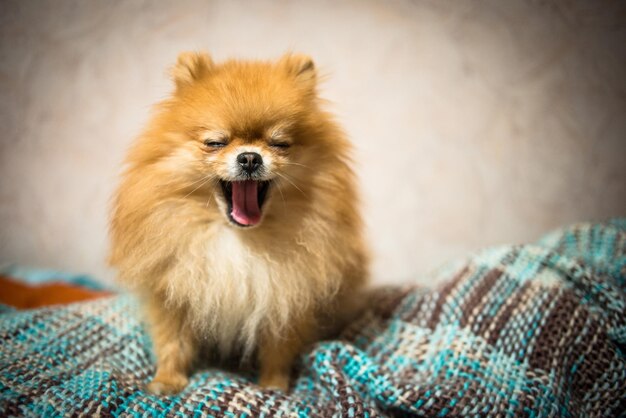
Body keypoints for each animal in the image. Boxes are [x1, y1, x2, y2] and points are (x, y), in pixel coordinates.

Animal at [109, 52, 368, 396]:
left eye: (280, 143)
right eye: (215, 142)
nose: (249, 157)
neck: (239, 239)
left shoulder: (287, 297)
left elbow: (278, 349)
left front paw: (273, 385)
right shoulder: (173, 293)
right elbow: (172, 341)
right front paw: (167, 380)